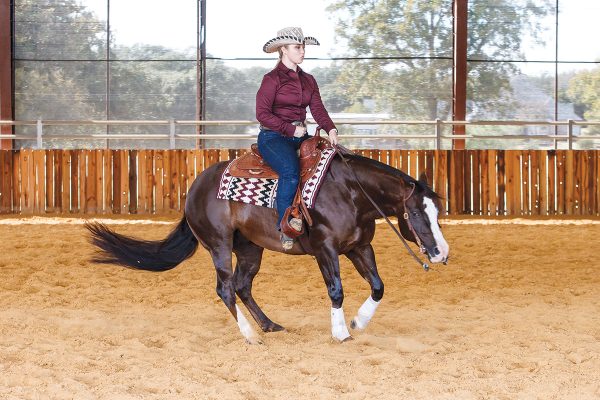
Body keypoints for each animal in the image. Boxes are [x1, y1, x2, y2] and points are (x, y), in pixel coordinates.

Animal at [86, 152, 448, 342]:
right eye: (417, 213)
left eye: (438, 211)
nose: (442, 253)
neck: (351, 192)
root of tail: (195, 187)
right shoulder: (326, 249)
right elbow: (336, 290)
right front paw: (340, 332)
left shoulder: (360, 247)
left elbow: (378, 286)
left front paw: (359, 322)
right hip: (219, 244)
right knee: (225, 288)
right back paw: (250, 334)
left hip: (250, 249)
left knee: (242, 286)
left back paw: (268, 324)